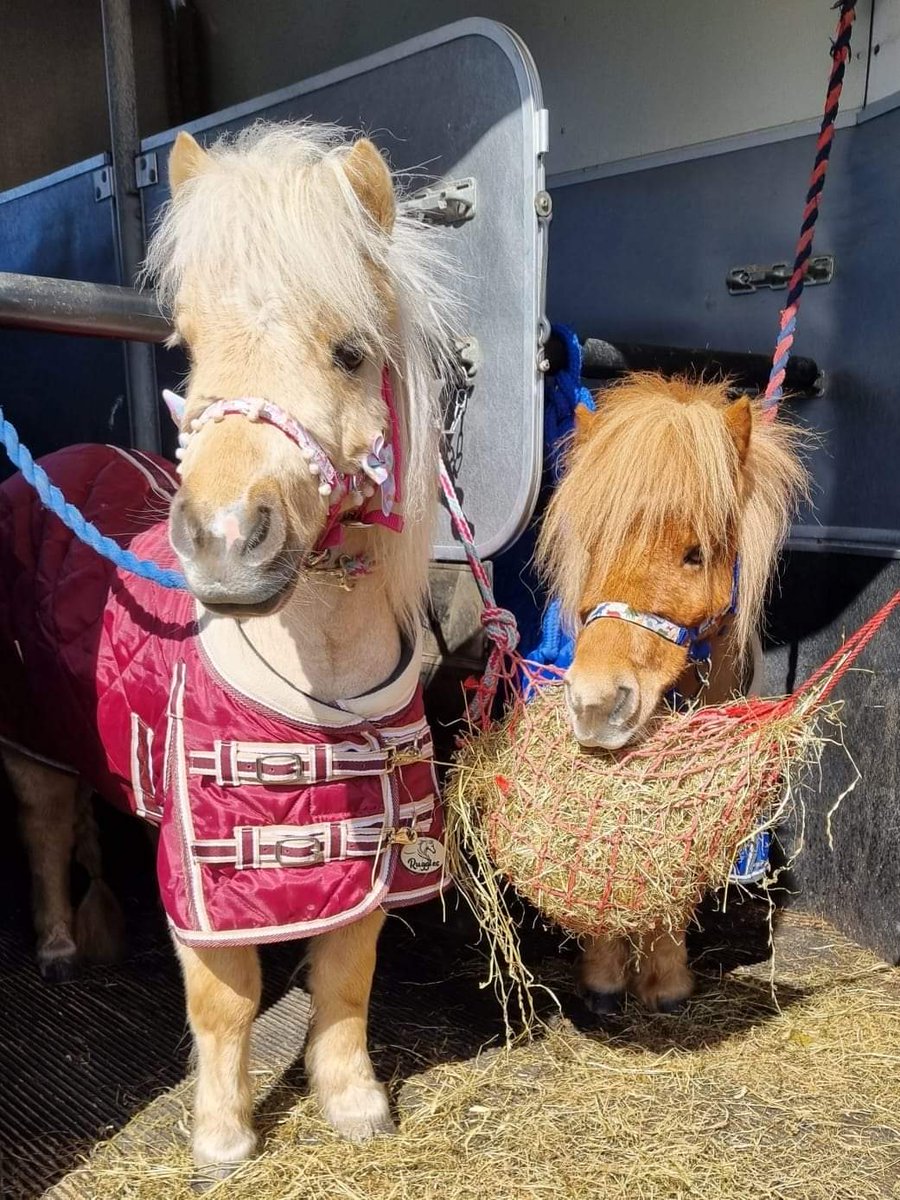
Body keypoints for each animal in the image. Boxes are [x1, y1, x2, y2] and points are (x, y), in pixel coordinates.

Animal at [0, 121, 458, 1175]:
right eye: (189, 346)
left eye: (348, 351)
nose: (219, 540)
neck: (321, 686)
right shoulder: (215, 877)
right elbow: (227, 1001)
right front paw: (221, 1132)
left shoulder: (361, 859)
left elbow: (345, 981)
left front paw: (354, 1104)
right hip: (27, 744)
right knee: (45, 829)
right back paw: (56, 948)